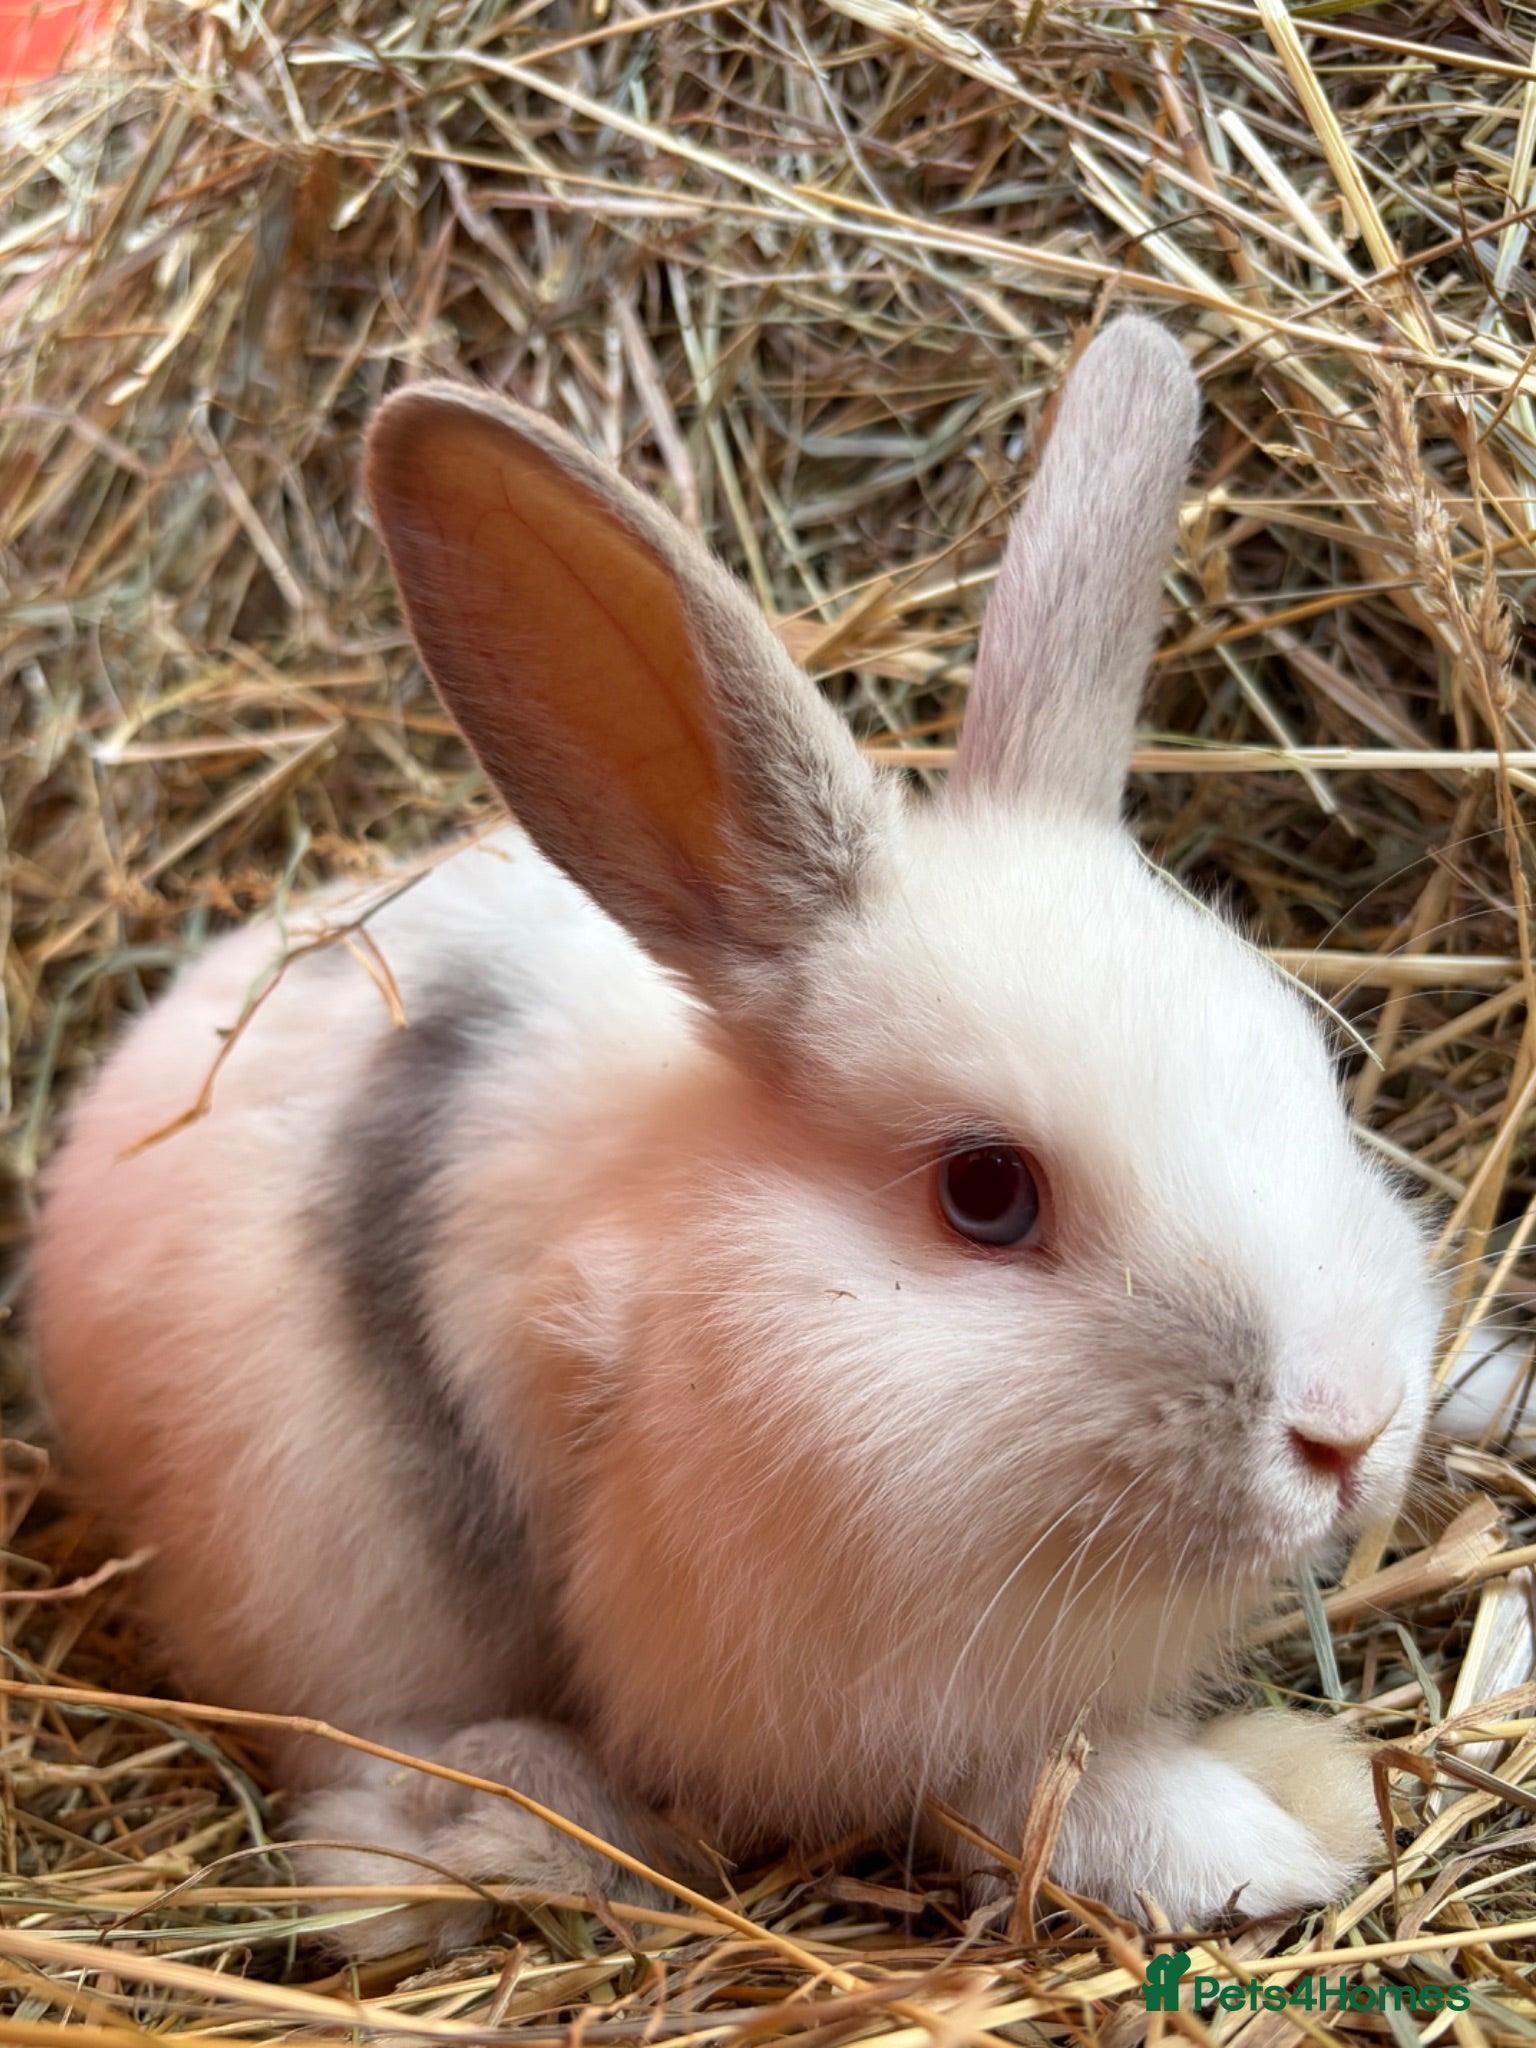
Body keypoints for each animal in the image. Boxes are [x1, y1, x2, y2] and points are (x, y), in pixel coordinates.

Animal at [33, 316, 1440, 1956]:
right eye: (985, 1191)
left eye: (1309, 1067)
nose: (1348, 1424)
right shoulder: (854, 1695)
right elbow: (1038, 1785)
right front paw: (1266, 1833)